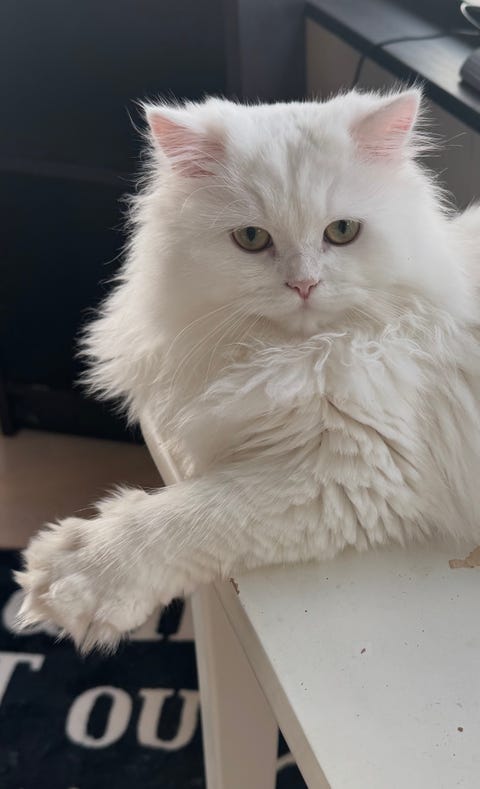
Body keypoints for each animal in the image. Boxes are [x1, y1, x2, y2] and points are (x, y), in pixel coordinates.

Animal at [15, 88, 480, 653]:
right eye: (253, 239)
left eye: (342, 232)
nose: (304, 285)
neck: (297, 356)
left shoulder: (355, 473)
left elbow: (187, 516)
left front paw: (81, 572)